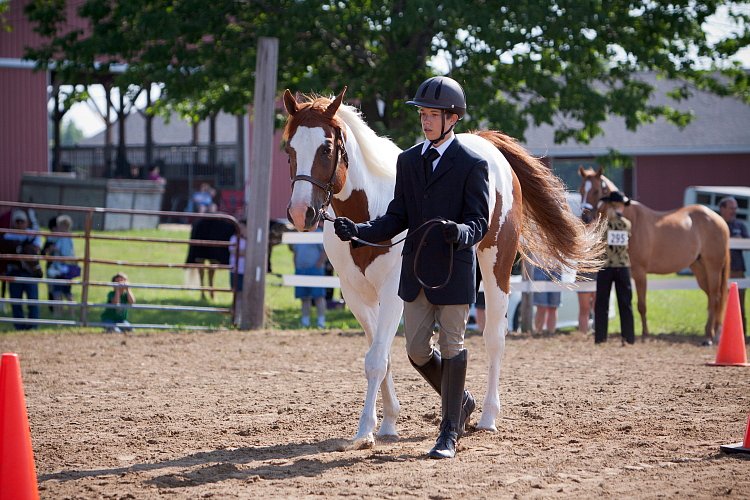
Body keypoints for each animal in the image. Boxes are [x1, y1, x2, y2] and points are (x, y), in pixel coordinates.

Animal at [284, 89, 604, 450]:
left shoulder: (393, 293)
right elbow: (384, 355)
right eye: (289, 149)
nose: (301, 213)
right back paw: (463, 409)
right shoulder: (355, 295)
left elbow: (376, 360)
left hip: (497, 268)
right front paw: (389, 422)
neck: (370, 213)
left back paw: (488, 417)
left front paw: (364, 430)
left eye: (326, 148)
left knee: (494, 337)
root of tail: (489, 147)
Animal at [580, 168, 732, 344]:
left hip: (713, 267)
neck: (629, 218)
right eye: (581, 190)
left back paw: (709, 337)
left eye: (596, 190)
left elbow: (641, 305)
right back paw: (712, 333)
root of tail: (719, 219)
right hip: (699, 268)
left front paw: (645, 335)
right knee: (711, 297)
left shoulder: (639, 272)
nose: (585, 218)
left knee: (715, 297)